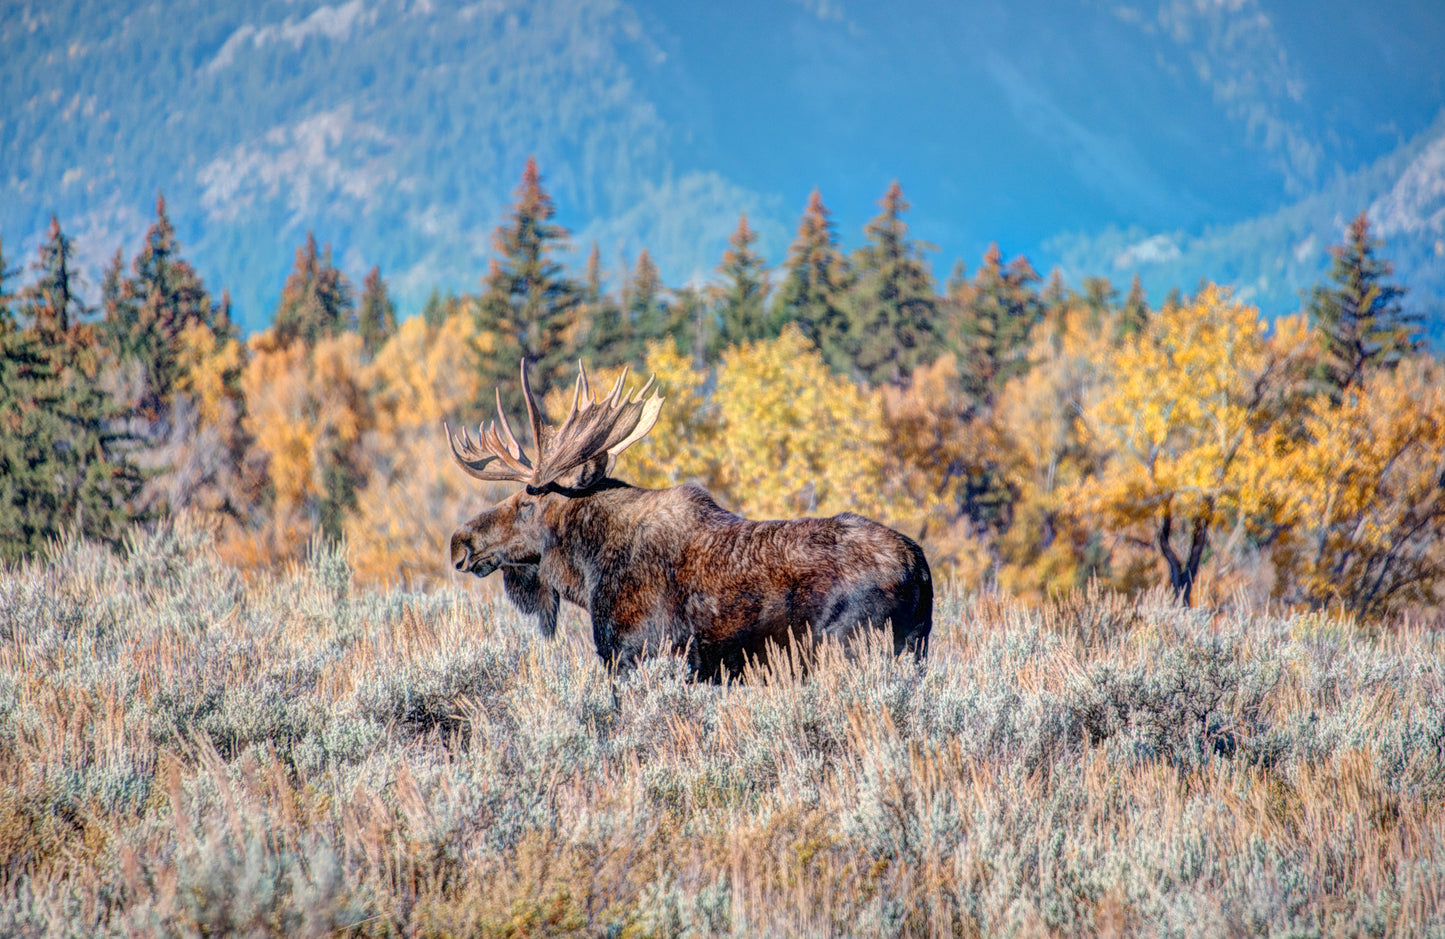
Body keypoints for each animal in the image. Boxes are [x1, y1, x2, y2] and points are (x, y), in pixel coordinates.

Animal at [447, 361, 932, 680]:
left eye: (526, 503)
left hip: (851, 647)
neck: (586, 571)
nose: (460, 542)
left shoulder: (637, 653)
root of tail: (920, 566)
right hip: (916, 648)